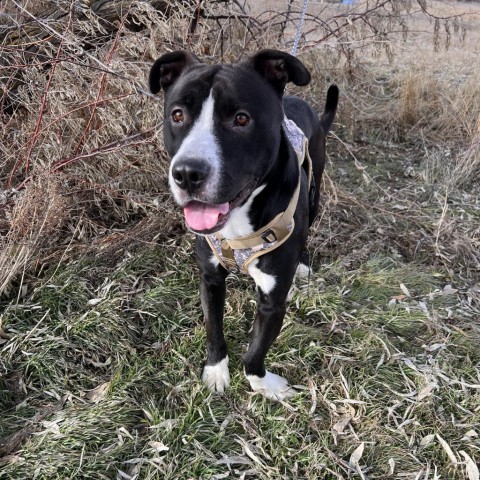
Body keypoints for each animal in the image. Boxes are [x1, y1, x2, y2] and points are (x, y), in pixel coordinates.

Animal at [148, 48, 340, 402]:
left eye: (241, 118)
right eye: (178, 115)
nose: (187, 173)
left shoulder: (273, 299)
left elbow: (255, 350)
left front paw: (263, 384)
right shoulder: (209, 279)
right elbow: (213, 328)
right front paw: (216, 371)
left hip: (315, 189)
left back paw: (304, 263)